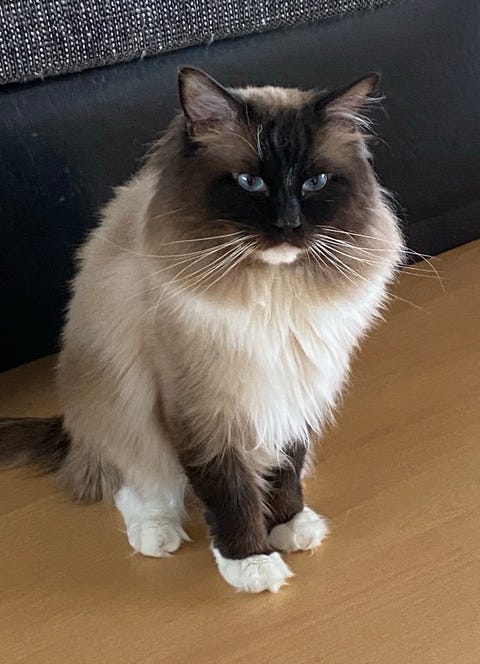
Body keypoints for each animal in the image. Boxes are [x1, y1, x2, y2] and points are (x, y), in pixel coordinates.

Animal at [1, 67, 403, 593]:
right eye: (250, 182)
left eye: (315, 182)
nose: (289, 224)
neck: (276, 298)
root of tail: (71, 427)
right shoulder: (204, 408)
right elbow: (228, 491)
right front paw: (250, 561)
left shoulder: (294, 386)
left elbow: (286, 465)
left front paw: (288, 523)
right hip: (122, 405)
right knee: (132, 480)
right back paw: (157, 532)